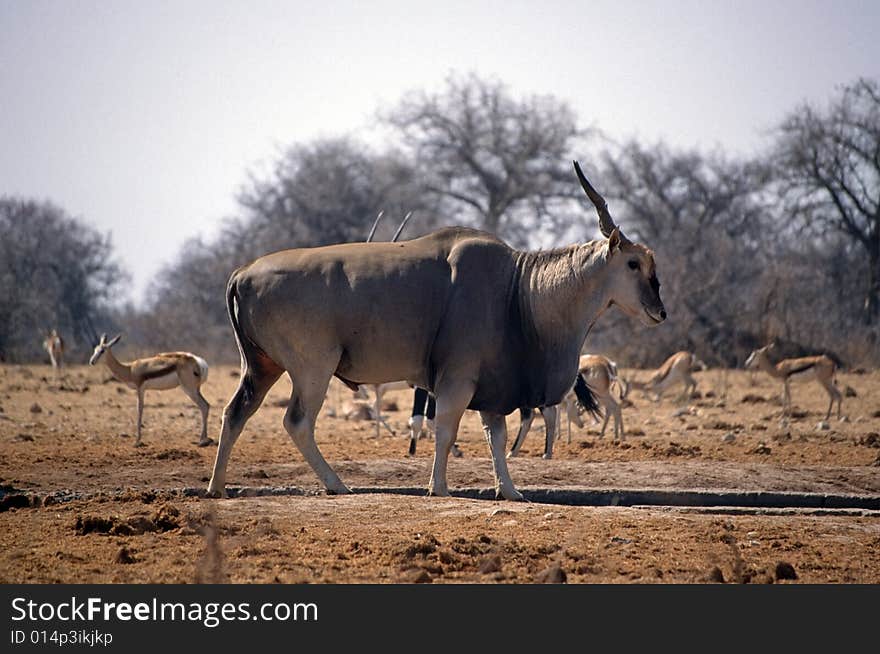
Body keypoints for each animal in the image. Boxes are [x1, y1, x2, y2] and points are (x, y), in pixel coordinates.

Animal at [205, 161, 660, 500]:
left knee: (235, 412)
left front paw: (510, 491)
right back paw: (337, 484)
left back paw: (216, 488)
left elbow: (496, 439)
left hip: (261, 367)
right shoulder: (457, 380)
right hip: (313, 368)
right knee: (297, 422)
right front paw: (437, 487)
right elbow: (445, 430)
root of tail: (243, 273)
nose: (660, 311)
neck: (518, 288)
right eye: (633, 264)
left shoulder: (493, 390)